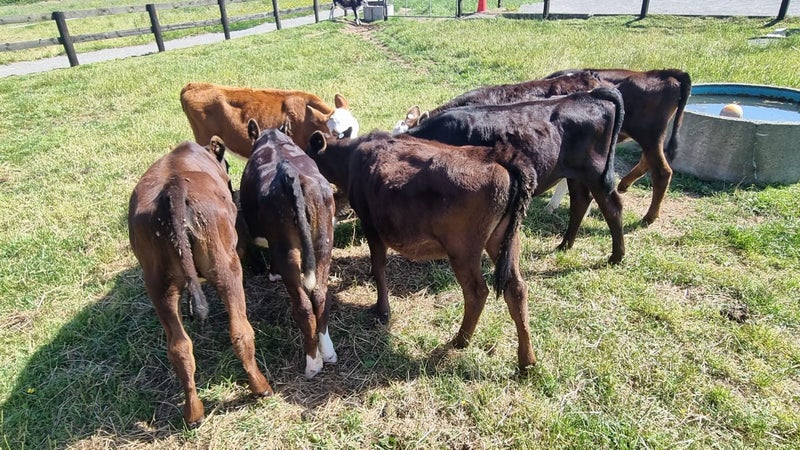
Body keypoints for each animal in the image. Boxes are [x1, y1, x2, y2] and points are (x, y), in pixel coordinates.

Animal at [128, 138, 272, 427]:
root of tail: (173, 191)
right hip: (226, 268)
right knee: (240, 331)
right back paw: (261, 387)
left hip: (158, 285)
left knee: (179, 347)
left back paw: (193, 413)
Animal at [239, 121, 337, 379]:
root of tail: (292, 175)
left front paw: (272, 273)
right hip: (323, 240)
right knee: (320, 296)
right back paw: (328, 352)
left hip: (286, 248)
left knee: (303, 305)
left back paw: (313, 363)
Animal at [306, 129, 538, 370]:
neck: (351, 158)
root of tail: (499, 155)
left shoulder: (371, 225)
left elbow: (379, 268)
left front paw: (382, 310)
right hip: (503, 239)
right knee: (516, 288)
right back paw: (527, 361)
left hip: (463, 248)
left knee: (477, 291)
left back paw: (460, 340)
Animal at [404, 87, 627, 264]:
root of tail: (590, 95)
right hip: (574, 174)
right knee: (580, 201)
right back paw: (564, 245)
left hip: (596, 174)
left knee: (612, 207)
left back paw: (616, 256)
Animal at [544, 68, 692, 224]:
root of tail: (662, 73)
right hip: (650, 138)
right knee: (647, 160)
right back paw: (624, 185)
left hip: (650, 135)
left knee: (662, 172)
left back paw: (649, 216)